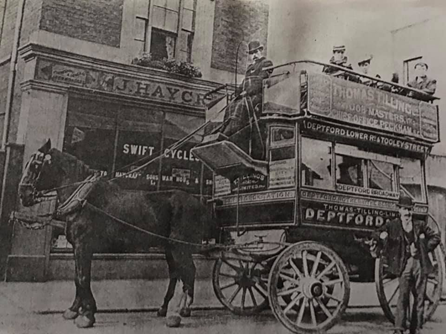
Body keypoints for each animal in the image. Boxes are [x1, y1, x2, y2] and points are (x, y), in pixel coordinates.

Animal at [19, 140, 216, 328]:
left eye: (36, 164)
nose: (23, 194)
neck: (84, 199)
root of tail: (199, 203)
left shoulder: (84, 247)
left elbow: (83, 278)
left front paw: (87, 315)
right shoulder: (77, 248)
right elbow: (77, 278)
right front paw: (74, 310)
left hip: (180, 246)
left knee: (189, 271)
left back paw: (178, 312)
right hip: (169, 247)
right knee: (176, 273)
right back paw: (166, 308)